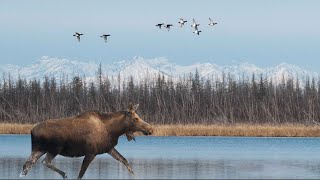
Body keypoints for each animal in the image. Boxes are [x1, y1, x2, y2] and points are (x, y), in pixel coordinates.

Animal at [19, 103, 154, 179]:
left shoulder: (108, 148)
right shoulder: (91, 153)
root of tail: (31, 130)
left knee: (27, 165)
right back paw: (64, 174)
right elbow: (80, 174)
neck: (113, 130)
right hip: (54, 148)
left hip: (38, 149)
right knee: (44, 162)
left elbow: (125, 161)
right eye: (136, 118)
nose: (151, 129)